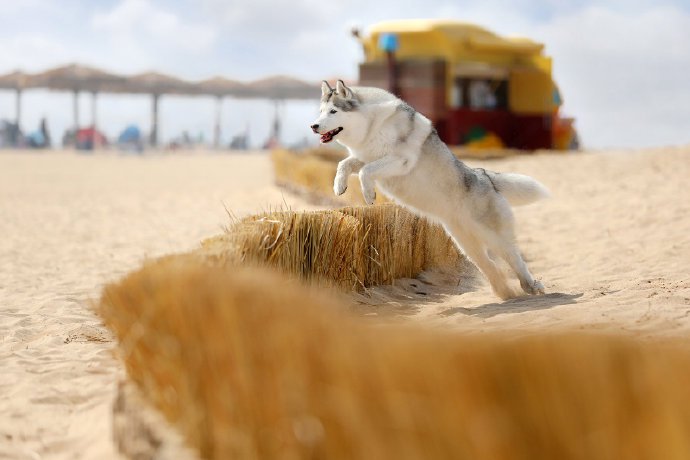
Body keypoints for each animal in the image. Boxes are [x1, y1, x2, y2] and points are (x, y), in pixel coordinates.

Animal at [310, 81, 544, 300]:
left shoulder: (400, 160)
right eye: (320, 111)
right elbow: (345, 164)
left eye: (333, 111)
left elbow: (365, 171)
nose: (313, 125)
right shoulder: (365, 156)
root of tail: (484, 175)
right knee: (490, 266)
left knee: (515, 258)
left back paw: (531, 287)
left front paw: (369, 194)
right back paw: (506, 293)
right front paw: (339, 186)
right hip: (466, 244)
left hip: (493, 237)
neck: (371, 124)